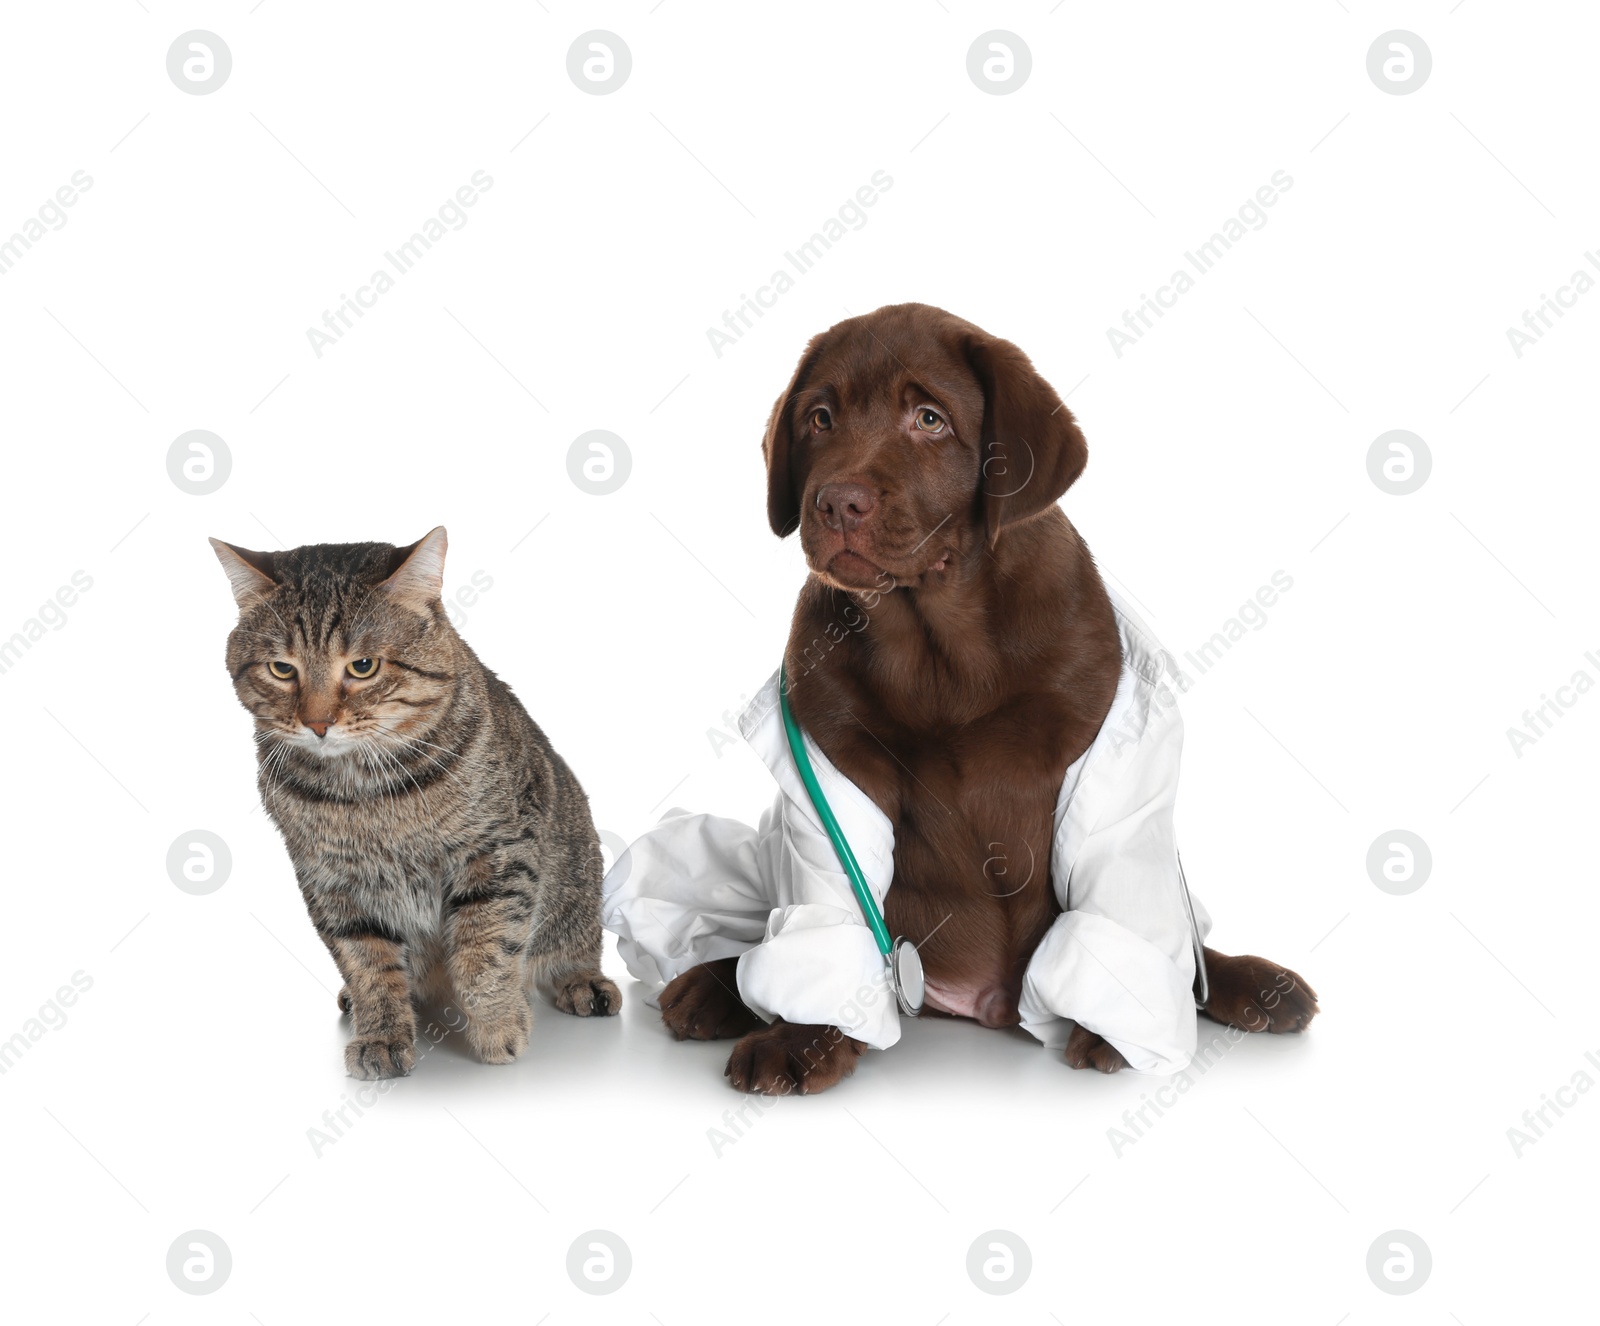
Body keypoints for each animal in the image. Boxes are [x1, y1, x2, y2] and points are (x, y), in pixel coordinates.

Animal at [208, 521, 617, 1068]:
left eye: (363, 666)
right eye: (282, 669)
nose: (317, 723)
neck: (366, 793)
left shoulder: (499, 852)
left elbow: (486, 951)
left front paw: (497, 1025)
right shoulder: (331, 881)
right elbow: (367, 964)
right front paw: (382, 1034)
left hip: (577, 878)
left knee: (573, 941)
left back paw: (581, 981)